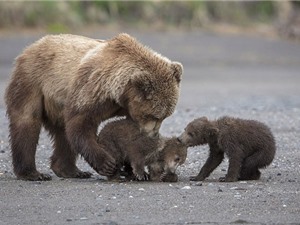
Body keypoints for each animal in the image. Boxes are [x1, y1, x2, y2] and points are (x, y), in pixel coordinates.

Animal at [5, 33, 183, 181]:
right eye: (154, 115)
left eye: (165, 116)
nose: (153, 134)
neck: (119, 96)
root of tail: (32, 46)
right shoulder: (92, 89)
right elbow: (80, 124)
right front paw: (107, 164)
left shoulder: (125, 107)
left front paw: (131, 169)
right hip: (33, 81)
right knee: (27, 122)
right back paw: (32, 173)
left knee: (62, 134)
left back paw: (71, 171)